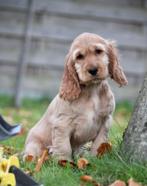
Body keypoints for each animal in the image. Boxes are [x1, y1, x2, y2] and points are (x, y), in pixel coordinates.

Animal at [23, 32, 127, 160]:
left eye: (98, 51)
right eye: (79, 57)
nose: (93, 70)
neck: (92, 90)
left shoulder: (105, 120)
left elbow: (99, 143)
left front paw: (94, 159)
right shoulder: (62, 124)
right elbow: (64, 146)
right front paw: (64, 161)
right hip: (34, 146)